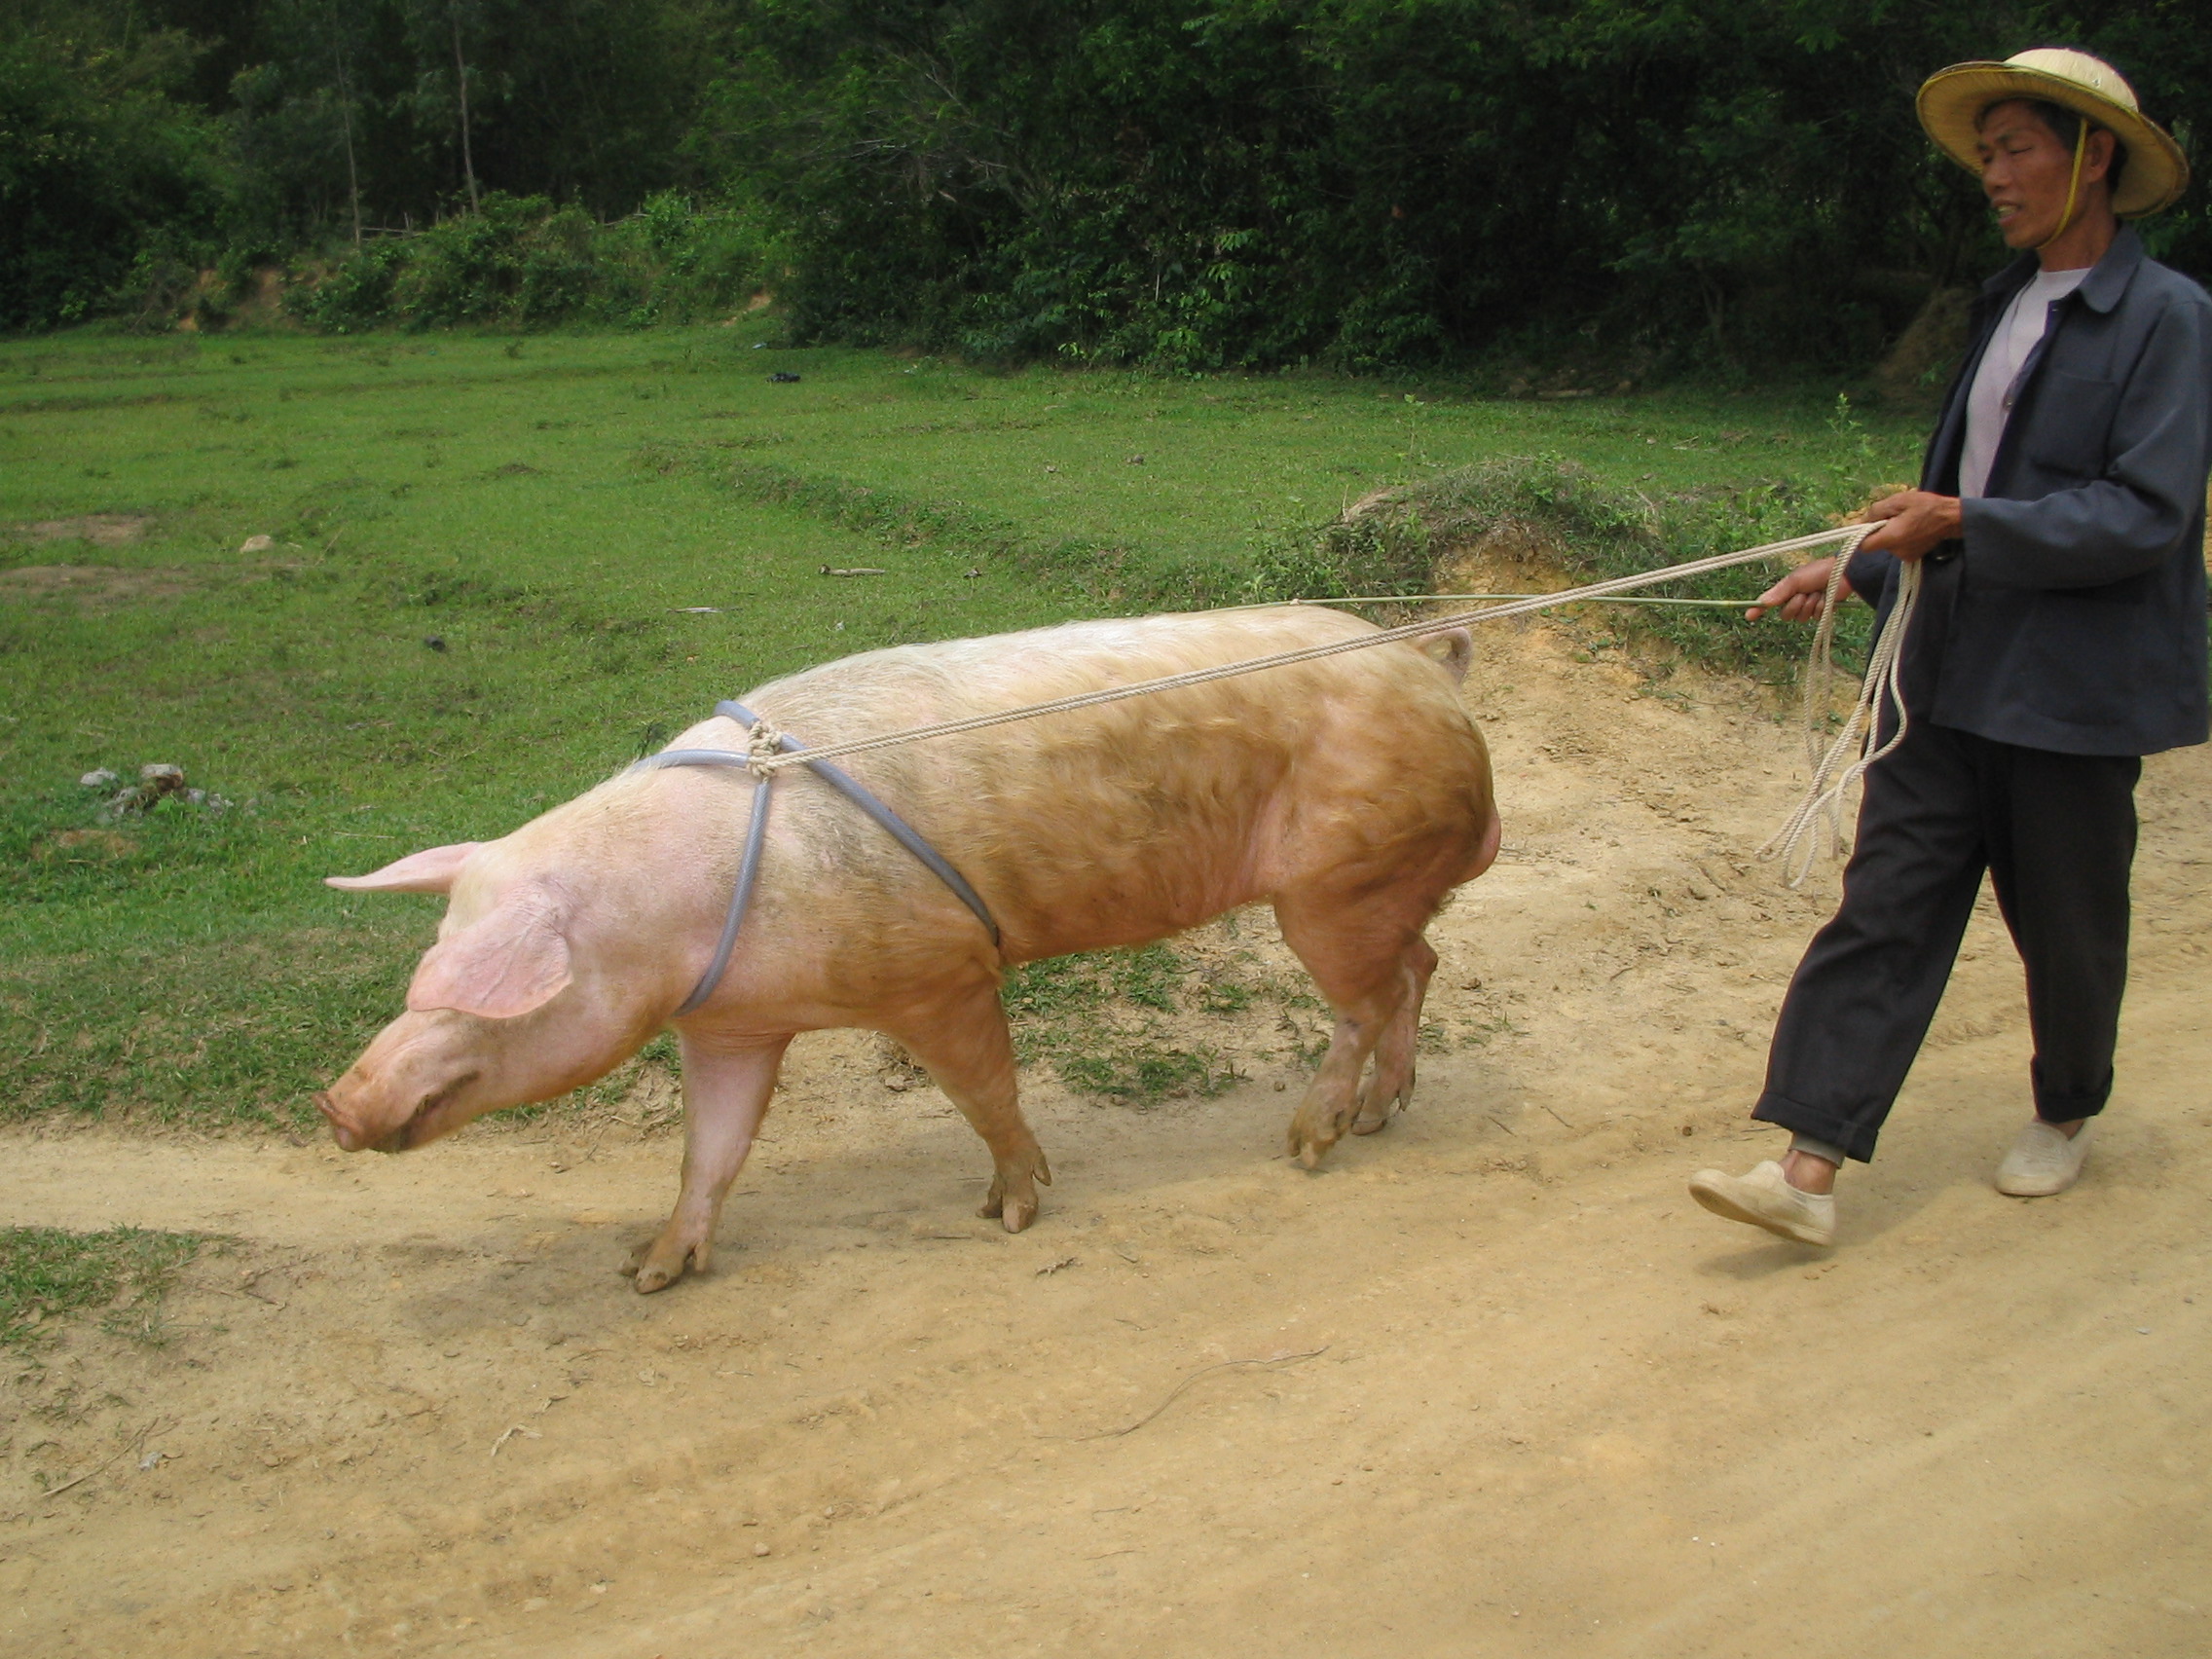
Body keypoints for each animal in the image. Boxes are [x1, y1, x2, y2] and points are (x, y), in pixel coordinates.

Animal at [318, 605, 1500, 1292]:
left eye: (484, 992)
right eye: (424, 964)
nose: (340, 1101)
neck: (682, 919)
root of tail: (1425, 660)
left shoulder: (937, 971)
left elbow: (984, 1093)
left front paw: (1010, 1216)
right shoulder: (731, 1024)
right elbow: (712, 1147)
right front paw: (649, 1273)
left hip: (1333, 882)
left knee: (1361, 999)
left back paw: (1309, 1142)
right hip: (1380, 886)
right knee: (1419, 968)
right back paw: (1383, 1114)